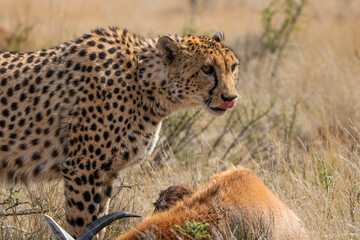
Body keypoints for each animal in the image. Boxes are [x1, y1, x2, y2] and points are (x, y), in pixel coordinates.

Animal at [0, 27, 239, 237]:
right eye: (206, 69)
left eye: (233, 67)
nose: (231, 97)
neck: (143, 83)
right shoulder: (82, 170)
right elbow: (83, 226)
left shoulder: (106, 173)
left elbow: (100, 223)